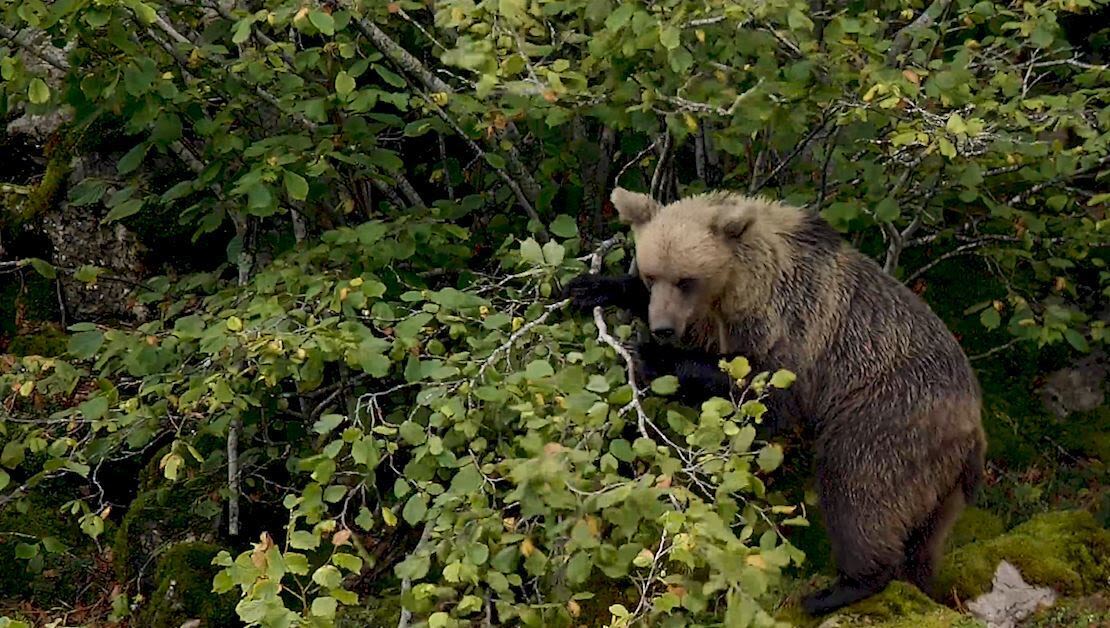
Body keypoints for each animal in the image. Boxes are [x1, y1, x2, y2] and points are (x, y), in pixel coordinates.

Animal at [568, 187, 985, 616]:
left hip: (886, 419)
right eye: (653, 275)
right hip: (942, 487)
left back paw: (837, 589)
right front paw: (592, 287)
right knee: (924, 540)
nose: (663, 329)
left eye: (686, 279)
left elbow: (763, 390)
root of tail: (972, 426)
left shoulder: (789, 326)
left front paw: (653, 356)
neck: (740, 285)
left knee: (857, 489)